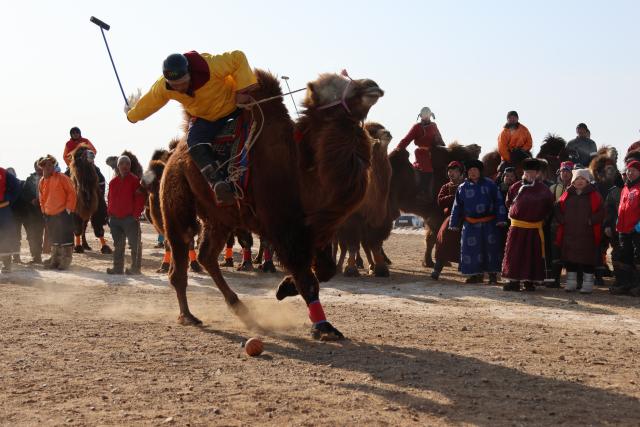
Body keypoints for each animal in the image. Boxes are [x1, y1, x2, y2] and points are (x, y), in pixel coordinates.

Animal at [160, 70, 383, 340]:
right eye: (333, 87)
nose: (372, 85)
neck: (302, 171)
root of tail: (176, 153)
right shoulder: (283, 226)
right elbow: (308, 279)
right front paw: (323, 327)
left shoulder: (315, 229)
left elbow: (325, 270)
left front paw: (285, 287)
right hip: (177, 200)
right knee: (181, 250)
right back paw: (188, 315)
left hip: (219, 217)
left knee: (206, 255)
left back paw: (241, 310)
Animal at [335, 122, 394, 277]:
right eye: (372, 132)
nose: (388, 133)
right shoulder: (352, 218)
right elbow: (352, 244)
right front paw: (350, 269)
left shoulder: (378, 218)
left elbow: (374, 244)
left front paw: (380, 268)